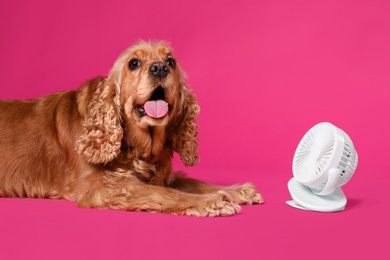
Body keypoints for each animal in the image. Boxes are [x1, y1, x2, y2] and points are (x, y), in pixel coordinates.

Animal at [0, 41, 262, 216]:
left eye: (171, 62)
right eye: (134, 63)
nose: (159, 68)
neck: (137, 145)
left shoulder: (161, 175)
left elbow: (191, 182)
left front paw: (236, 190)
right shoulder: (103, 187)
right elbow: (164, 193)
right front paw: (212, 201)